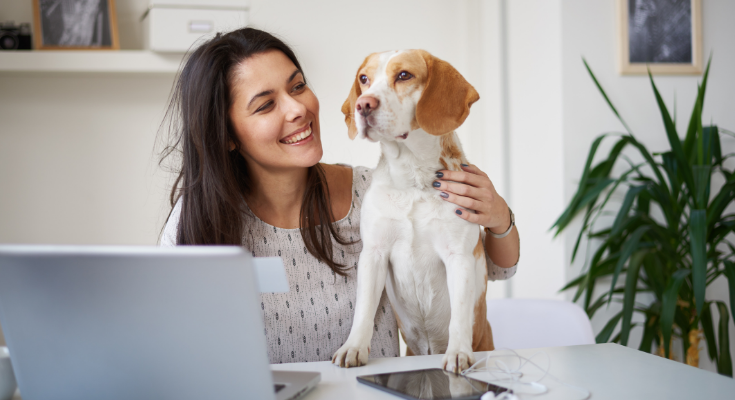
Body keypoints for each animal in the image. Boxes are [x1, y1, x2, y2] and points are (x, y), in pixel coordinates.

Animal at [332, 49, 494, 372]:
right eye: (364, 79)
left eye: (404, 75)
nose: (362, 104)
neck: (413, 179)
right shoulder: (374, 254)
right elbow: (364, 310)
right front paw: (353, 347)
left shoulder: (458, 256)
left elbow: (459, 316)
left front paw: (458, 352)